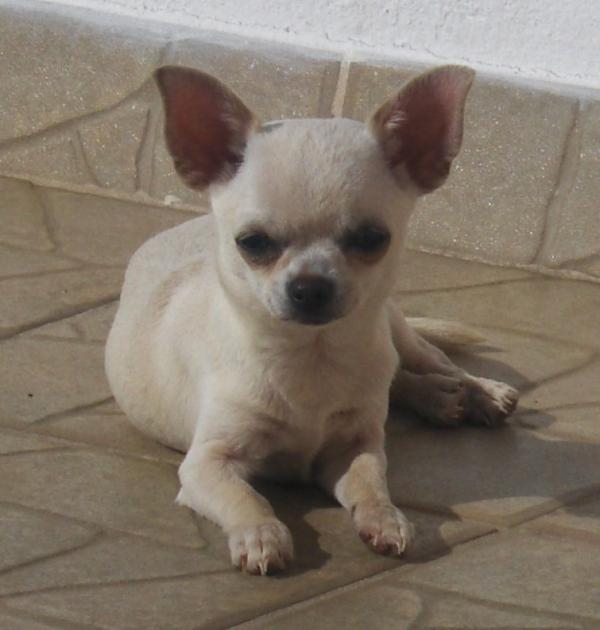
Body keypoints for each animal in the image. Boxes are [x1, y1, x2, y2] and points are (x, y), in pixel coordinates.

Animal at [105, 64, 519, 575]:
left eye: (371, 238)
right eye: (253, 243)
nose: (310, 286)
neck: (312, 355)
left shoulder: (355, 447)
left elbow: (371, 481)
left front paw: (384, 517)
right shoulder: (207, 463)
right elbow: (245, 496)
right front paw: (260, 535)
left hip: (396, 330)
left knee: (430, 364)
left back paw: (475, 392)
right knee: (400, 380)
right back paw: (441, 398)